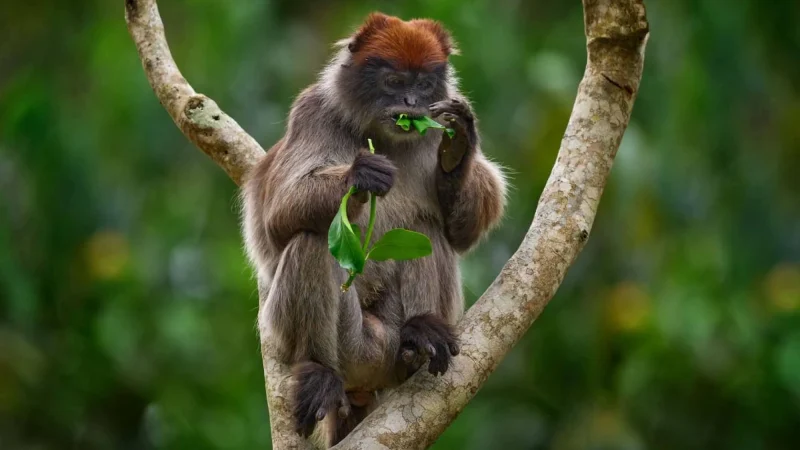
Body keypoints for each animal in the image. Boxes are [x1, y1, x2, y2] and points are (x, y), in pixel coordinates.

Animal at [240, 12, 507, 447]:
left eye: (423, 85)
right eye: (394, 82)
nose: (411, 104)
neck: (384, 137)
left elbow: (462, 231)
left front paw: (457, 148)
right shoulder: (312, 113)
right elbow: (278, 218)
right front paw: (360, 175)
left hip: (388, 343)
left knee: (425, 230)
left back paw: (419, 337)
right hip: (348, 344)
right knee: (311, 242)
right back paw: (318, 373)